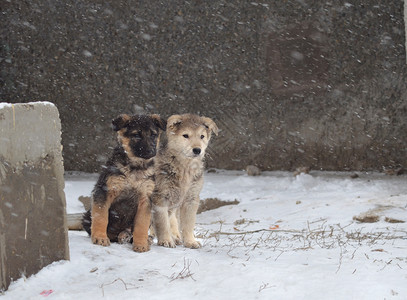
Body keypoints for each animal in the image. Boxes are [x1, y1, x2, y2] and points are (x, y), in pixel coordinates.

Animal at [82, 113, 167, 252]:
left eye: (153, 135)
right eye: (136, 135)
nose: (151, 151)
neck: (135, 168)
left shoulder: (145, 199)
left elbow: (141, 225)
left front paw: (141, 244)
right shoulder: (104, 191)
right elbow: (101, 217)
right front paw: (100, 238)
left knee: (132, 230)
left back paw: (137, 238)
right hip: (86, 216)